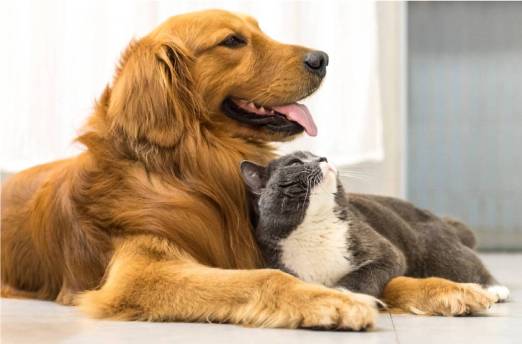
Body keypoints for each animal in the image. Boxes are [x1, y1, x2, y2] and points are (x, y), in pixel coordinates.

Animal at [240, 152, 508, 300]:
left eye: (316, 154)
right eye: (295, 161)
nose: (323, 158)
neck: (314, 228)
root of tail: (439, 219)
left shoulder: (385, 251)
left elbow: (366, 271)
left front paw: (344, 293)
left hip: (437, 251)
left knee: (466, 263)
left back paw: (494, 289)